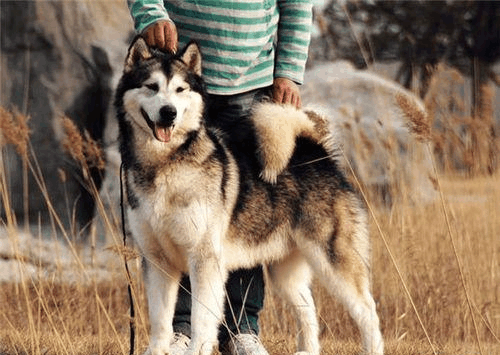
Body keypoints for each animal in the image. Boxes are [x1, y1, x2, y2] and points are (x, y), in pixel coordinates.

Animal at [115, 36, 384, 355]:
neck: (165, 164)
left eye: (180, 90)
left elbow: (201, 321)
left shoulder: (205, 260)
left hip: (334, 261)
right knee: (308, 307)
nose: (169, 112)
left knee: (368, 310)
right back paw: (307, 350)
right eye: (151, 86)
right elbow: (160, 323)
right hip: (284, 272)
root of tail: (316, 153)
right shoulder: (157, 262)